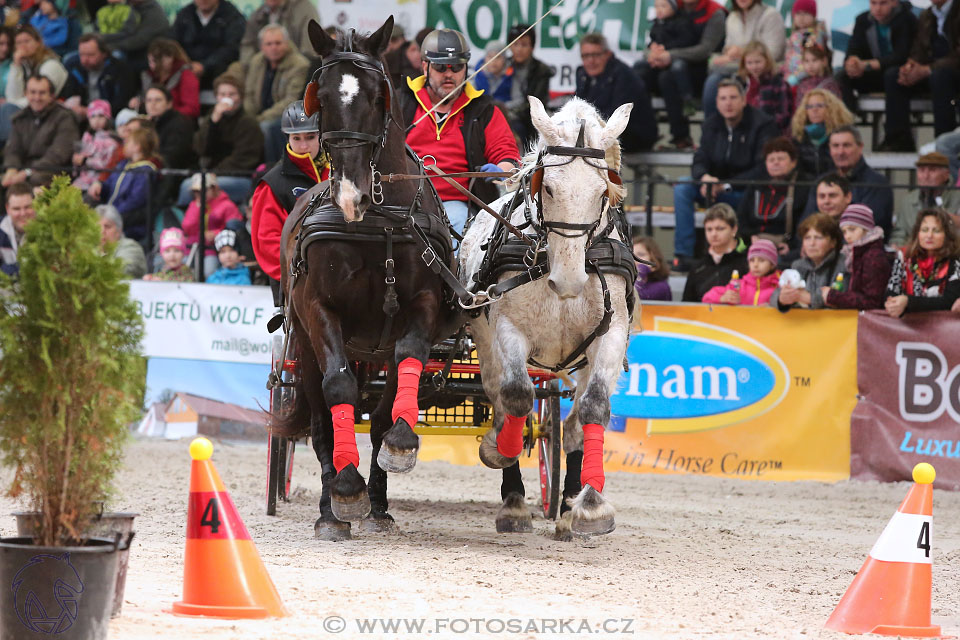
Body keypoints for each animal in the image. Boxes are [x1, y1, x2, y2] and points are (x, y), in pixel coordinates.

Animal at [272, 17, 464, 540]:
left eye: (378, 96)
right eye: (321, 96)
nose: (350, 194)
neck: (378, 219)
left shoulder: (422, 306)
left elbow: (406, 368)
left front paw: (399, 443)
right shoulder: (319, 310)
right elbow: (338, 390)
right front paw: (345, 487)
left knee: (378, 407)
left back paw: (377, 502)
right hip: (303, 346)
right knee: (321, 420)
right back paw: (331, 506)